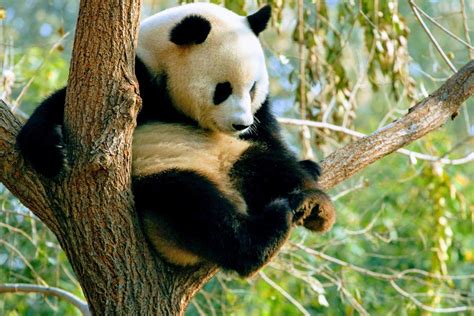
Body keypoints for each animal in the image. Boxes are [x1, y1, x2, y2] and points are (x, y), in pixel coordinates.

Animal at [16, 3, 336, 278]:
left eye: (252, 88)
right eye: (223, 89)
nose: (240, 124)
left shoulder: (255, 119)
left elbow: (268, 134)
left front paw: (309, 166)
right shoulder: (135, 80)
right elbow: (61, 105)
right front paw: (49, 151)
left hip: (235, 157)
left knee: (267, 166)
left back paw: (316, 208)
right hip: (160, 182)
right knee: (196, 207)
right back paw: (260, 241)